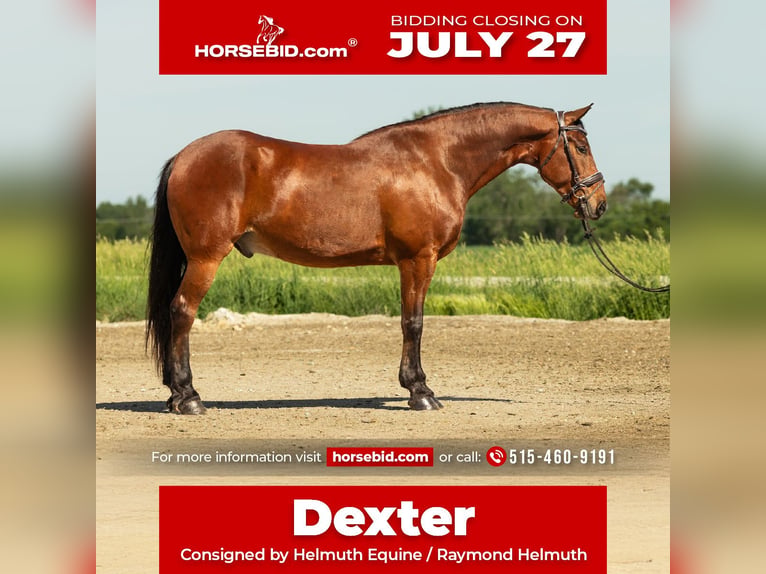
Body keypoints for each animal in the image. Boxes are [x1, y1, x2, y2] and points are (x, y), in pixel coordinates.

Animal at [146, 102, 606, 414]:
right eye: (580, 146)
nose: (598, 204)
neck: (436, 161)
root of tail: (184, 156)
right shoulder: (418, 259)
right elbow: (413, 323)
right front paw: (421, 392)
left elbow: (410, 322)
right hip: (206, 258)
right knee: (182, 312)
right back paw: (188, 397)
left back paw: (176, 395)